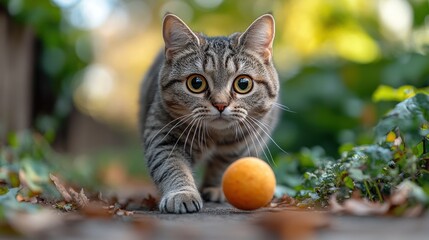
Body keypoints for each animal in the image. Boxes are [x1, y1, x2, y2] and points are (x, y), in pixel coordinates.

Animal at [140, 13, 280, 213]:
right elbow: (172, 167)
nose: (220, 104)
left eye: (243, 83)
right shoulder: (163, 135)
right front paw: (183, 194)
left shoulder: (240, 145)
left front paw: (217, 188)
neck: (214, 136)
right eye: (196, 83)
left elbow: (223, 166)